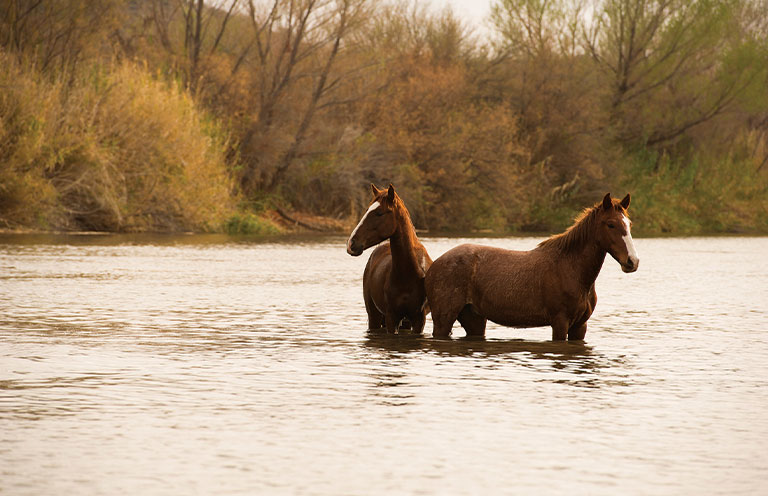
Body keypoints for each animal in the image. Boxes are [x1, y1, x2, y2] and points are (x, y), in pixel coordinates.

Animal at [346, 184, 433, 333]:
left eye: (379, 213)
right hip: (374, 315)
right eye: (367, 210)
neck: (409, 272)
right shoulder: (391, 317)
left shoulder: (418, 319)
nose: (351, 244)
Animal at [425, 193, 639, 341]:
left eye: (629, 224)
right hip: (444, 319)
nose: (632, 261)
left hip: (474, 318)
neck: (571, 270)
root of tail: (434, 265)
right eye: (610, 224)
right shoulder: (560, 323)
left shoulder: (580, 326)